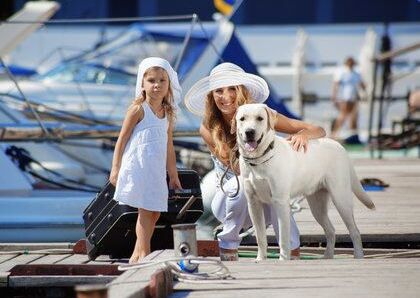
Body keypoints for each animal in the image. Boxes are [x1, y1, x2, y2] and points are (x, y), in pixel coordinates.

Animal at [235, 103, 376, 260]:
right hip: (317, 205)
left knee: (355, 231)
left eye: (260, 118)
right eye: (242, 119)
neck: (259, 159)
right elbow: (260, 237)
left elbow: (283, 238)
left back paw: (358, 256)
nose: (249, 132)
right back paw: (327, 256)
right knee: (331, 230)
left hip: (341, 199)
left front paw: (283, 259)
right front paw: (260, 259)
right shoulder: (253, 203)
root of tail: (340, 146)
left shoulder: (280, 201)